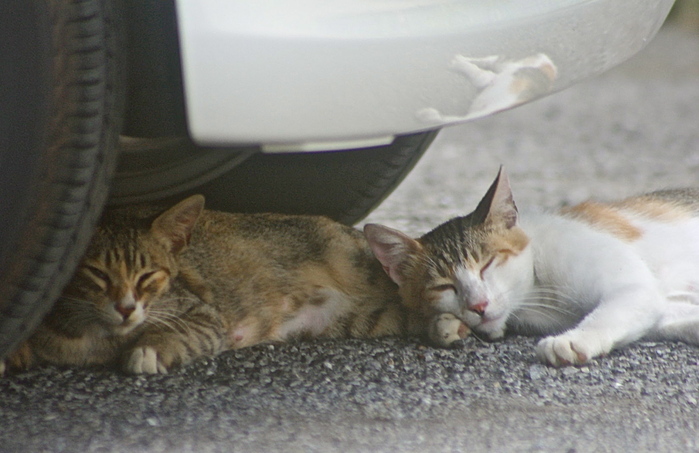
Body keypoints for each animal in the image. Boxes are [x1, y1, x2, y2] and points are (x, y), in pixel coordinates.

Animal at [1, 194, 464, 374]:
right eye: (97, 274)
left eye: (148, 276)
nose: (126, 307)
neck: (96, 336)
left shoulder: (205, 316)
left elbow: (178, 332)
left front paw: (149, 350)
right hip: (356, 320)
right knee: (404, 313)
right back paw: (444, 326)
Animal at [364, 168, 699, 366]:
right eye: (444, 286)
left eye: (487, 265)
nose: (478, 305)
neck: (537, 294)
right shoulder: (667, 306)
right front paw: (445, 325)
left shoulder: (634, 286)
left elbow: (611, 312)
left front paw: (573, 340)